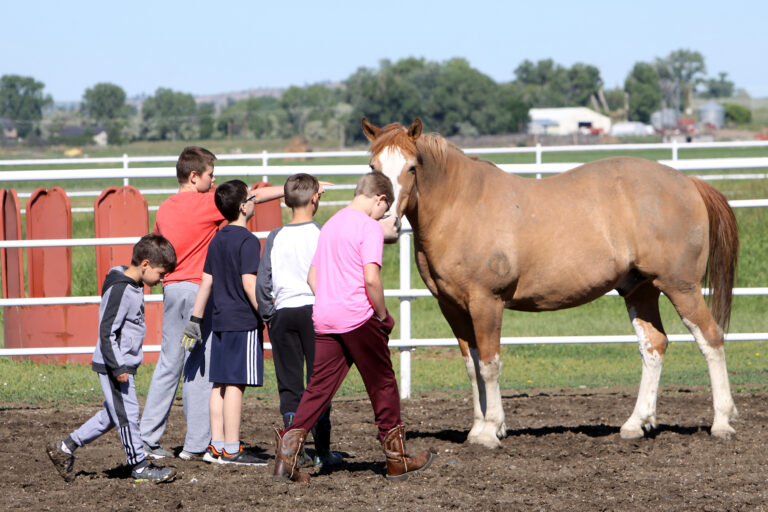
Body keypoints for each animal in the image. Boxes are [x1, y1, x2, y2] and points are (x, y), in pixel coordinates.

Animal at [362, 117, 739, 449]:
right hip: (640, 289)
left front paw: (491, 430)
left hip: (681, 287)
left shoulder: (487, 302)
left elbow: (489, 365)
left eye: (412, 167)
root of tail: (688, 183)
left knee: (711, 338)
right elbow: (472, 367)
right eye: (372, 166)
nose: (388, 223)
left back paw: (722, 422)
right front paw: (477, 428)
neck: (460, 207)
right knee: (654, 346)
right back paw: (635, 424)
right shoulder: (452, 307)